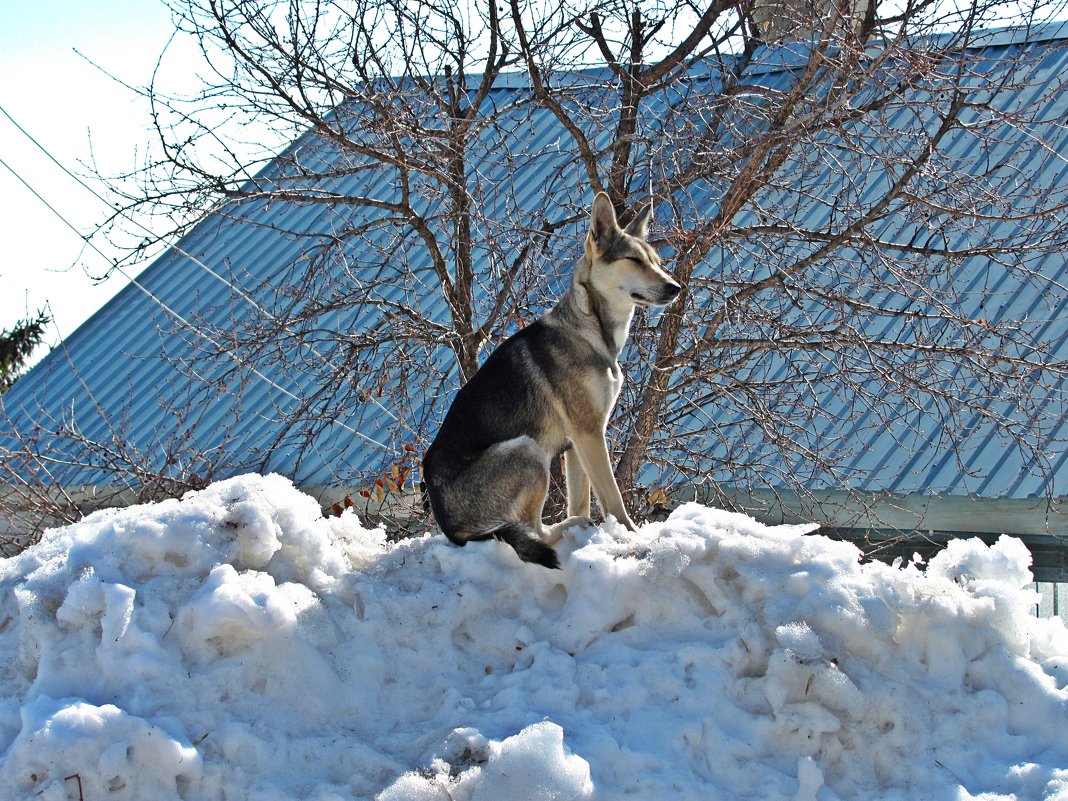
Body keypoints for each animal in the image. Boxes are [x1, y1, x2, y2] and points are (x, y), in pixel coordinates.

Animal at [420, 193, 679, 572]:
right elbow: (613, 497)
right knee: (535, 530)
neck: (590, 330)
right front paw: (631, 535)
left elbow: (582, 497)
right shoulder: (589, 432)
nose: (676, 288)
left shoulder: (577, 444)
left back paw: (577, 525)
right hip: (527, 450)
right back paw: (570, 526)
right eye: (633, 260)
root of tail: (455, 532)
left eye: (657, 262)